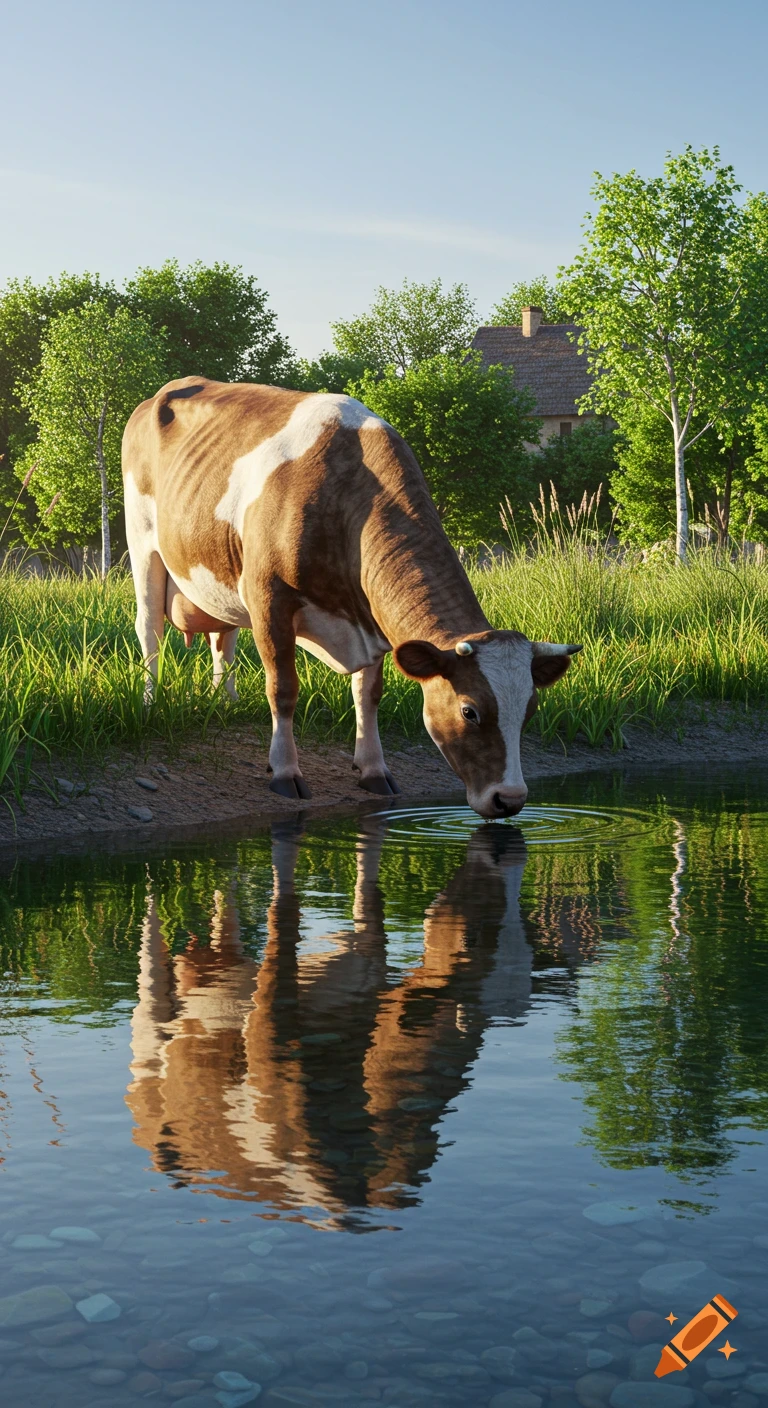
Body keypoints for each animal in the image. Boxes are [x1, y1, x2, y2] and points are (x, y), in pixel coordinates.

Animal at [121, 377, 580, 818]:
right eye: (470, 711)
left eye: (530, 709)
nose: (510, 799)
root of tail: (163, 392)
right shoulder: (268, 596)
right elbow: (283, 687)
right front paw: (284, 771)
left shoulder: (370, 620)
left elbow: (368, 694)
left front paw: (374, 770)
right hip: (143, 545)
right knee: (150, 631)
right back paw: (150, 702)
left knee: (223, 637)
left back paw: (225, 702)